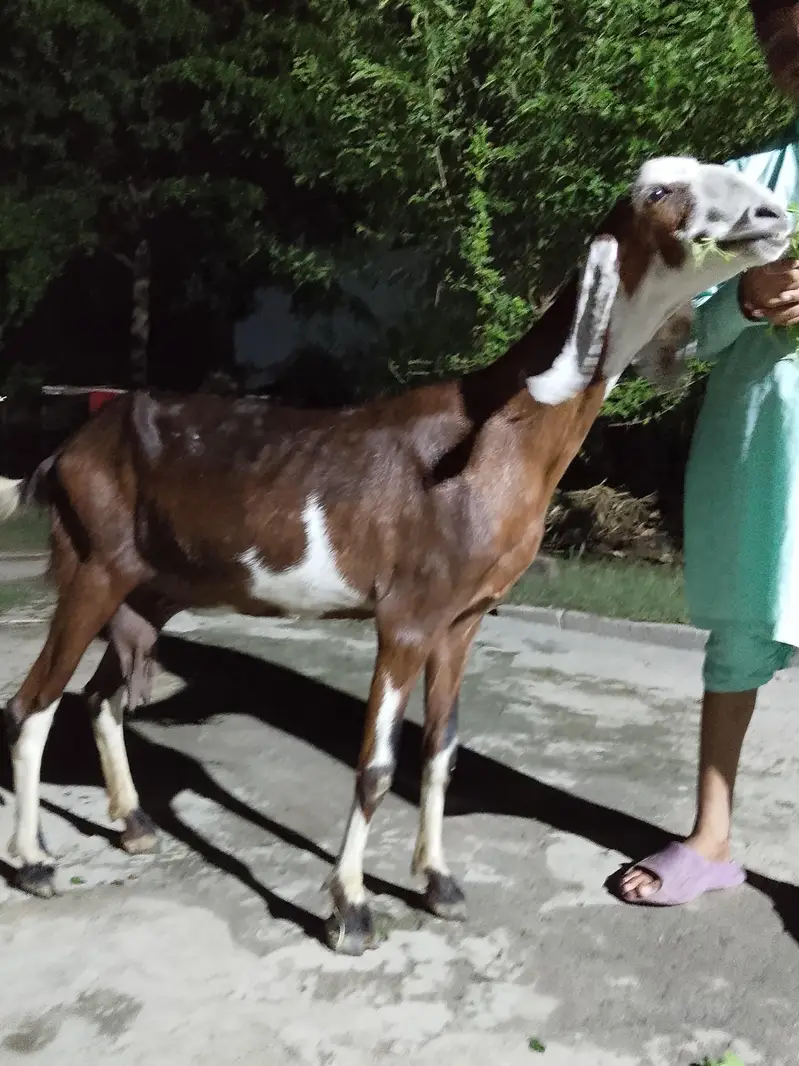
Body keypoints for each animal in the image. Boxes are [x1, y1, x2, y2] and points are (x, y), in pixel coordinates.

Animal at [0, 157, 790, 955]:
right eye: (658, 191)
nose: (770, 214)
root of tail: (65, 451)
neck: (496, 433)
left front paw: (438, 883)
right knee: (31, 705)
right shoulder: (406, 618)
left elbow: (440, 751)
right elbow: (376, 765)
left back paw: (134, 824)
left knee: (101, 699)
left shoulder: (463, 621)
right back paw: (34, 862)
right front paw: (350, 909)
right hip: (91, 569)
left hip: (151, 590)